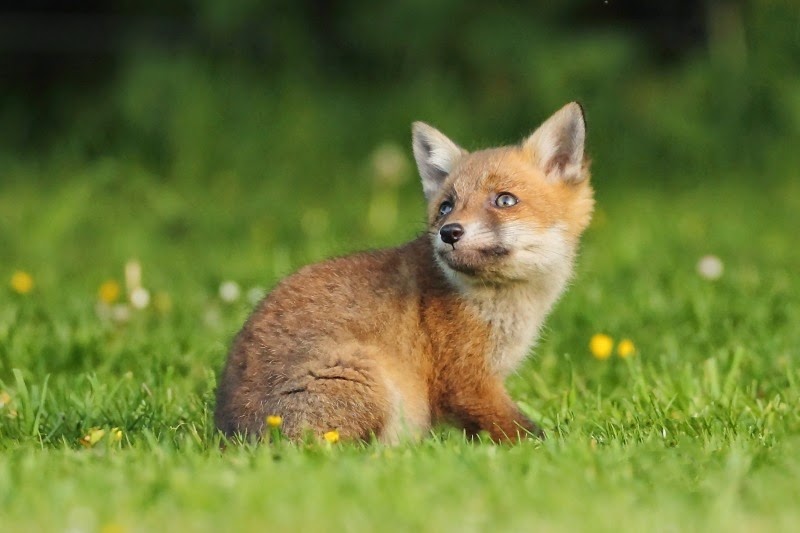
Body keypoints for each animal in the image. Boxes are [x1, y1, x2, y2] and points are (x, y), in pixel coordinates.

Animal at [215, 102, 594, 444]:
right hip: (372, 382)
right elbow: (528, 433)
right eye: (446, 207)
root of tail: (230, 437)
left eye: (505, 200)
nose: (449, 232)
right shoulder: (466, 382)